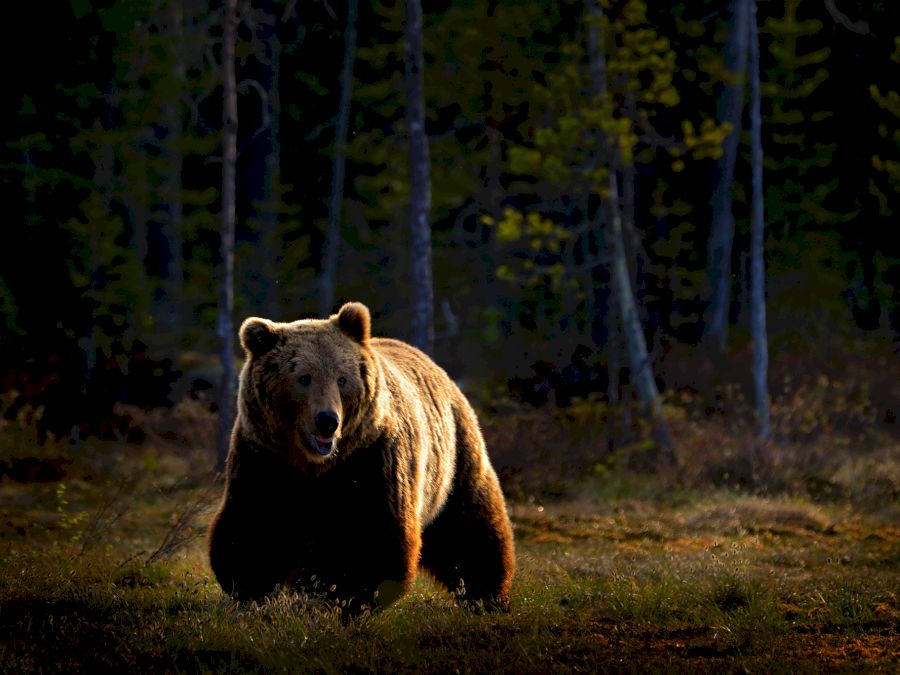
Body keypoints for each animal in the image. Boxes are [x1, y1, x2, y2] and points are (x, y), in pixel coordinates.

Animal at [206, 304, 512, 616]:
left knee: (470, 528)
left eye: (342, 379)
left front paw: (340, 597)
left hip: (454, 459)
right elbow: (253, 526)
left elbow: (370, 539)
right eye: (303, 377)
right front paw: (254, 591)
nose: (327, 421)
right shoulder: (265, 457)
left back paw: (487, 596)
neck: (315, 465)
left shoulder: (370, 459)